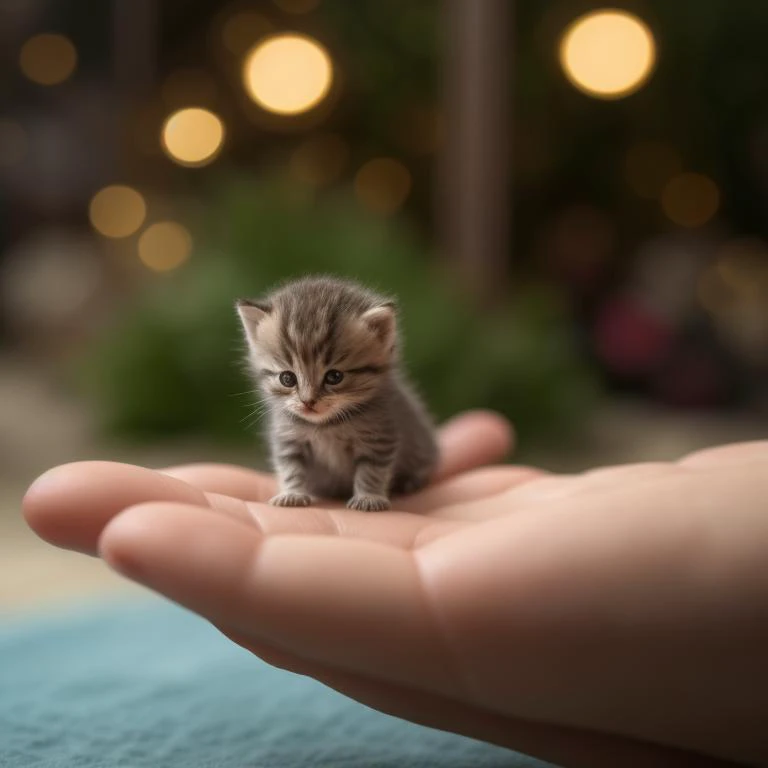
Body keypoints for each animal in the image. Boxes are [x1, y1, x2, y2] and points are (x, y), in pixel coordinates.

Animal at [234, 276, 438, 510]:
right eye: (287, 379)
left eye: (334, 377)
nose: (307, 402)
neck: (326, 425)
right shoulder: (288, 437)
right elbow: (290, 467)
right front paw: (292, 494)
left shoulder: (379, 437)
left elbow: (372, 470)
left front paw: (368, 498)